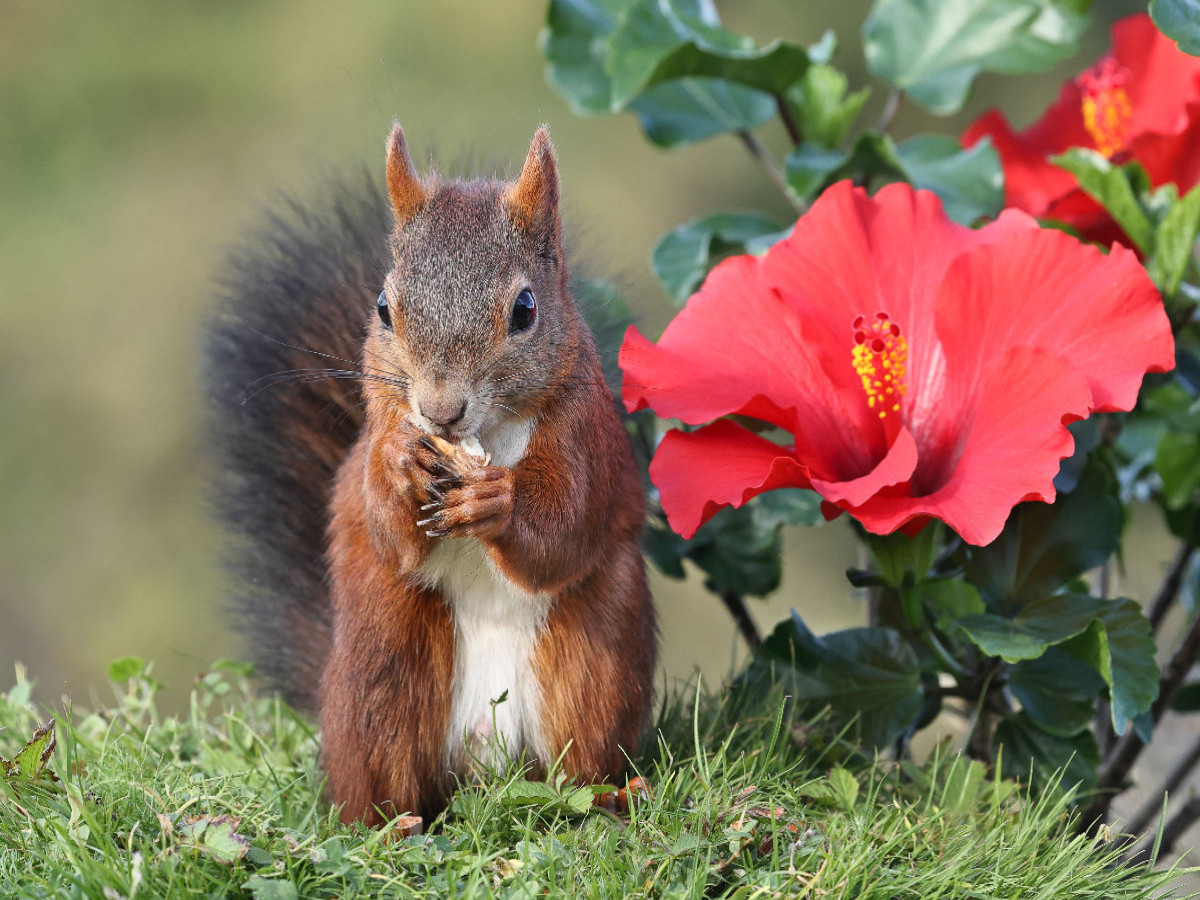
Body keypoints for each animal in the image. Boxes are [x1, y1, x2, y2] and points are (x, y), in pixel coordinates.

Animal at [206, 123, 657, 830]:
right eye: (383, 308)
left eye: (525, 309)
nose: (441, 411)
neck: (486, 437)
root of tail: (486, 772)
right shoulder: (371, 448)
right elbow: (385, 524)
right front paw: (400, 468)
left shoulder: (589, 442)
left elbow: (565, 528)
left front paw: (499, 500)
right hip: (384, 658)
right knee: (383, 776)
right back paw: (391, 824)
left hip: (595, 656)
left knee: (578, 762)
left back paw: (609, 795)